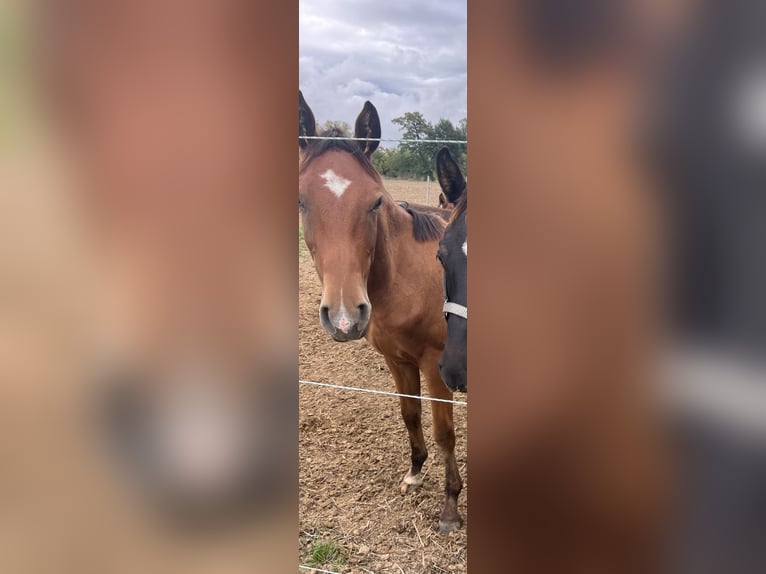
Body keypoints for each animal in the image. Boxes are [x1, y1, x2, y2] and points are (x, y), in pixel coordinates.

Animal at [298, 91, 464, 536]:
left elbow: (444, 432)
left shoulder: (434, 365)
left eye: (375, 200)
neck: (407, 276)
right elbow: (410, 415)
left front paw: (450, 507)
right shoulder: (397, 360)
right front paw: (415, 473)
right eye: (301, 200)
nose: (344, 316)